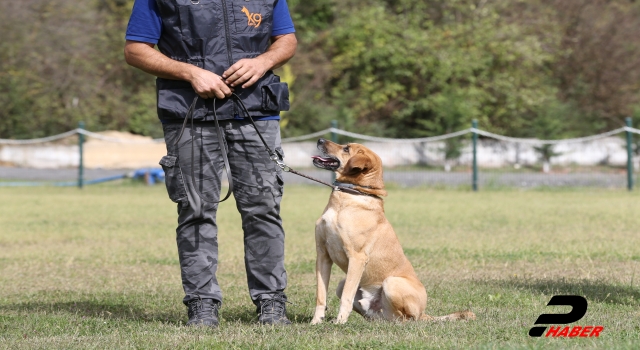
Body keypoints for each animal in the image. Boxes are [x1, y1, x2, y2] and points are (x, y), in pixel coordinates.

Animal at [310, 138, 476, 324]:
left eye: (346, 148)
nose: (320, 140)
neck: (349, 196)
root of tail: (423, 313)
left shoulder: (357, 257)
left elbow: (347, 295)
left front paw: (339, 322)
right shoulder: (323, 254)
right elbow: (321, 295)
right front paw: (316, 321)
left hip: (391, 283)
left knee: (407, 319)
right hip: (344, 285)